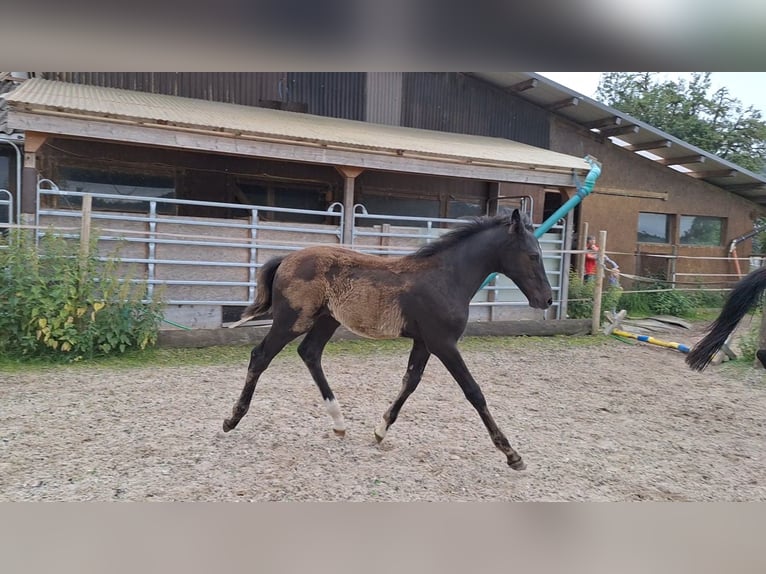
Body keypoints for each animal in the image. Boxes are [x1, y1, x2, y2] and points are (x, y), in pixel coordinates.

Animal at [223, 209, 552, 469]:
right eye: (533, 255)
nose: (547, 299)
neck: (447, 277)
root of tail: (286, 258)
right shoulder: (443, 343)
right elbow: (473, 391)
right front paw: (511, 453)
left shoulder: (424, 342)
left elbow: (410, 382)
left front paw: (380, 431)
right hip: (292, 321)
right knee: (261, 356)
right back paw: (232, 419)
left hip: (327, 320)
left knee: (309, 353)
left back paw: (339, 423)